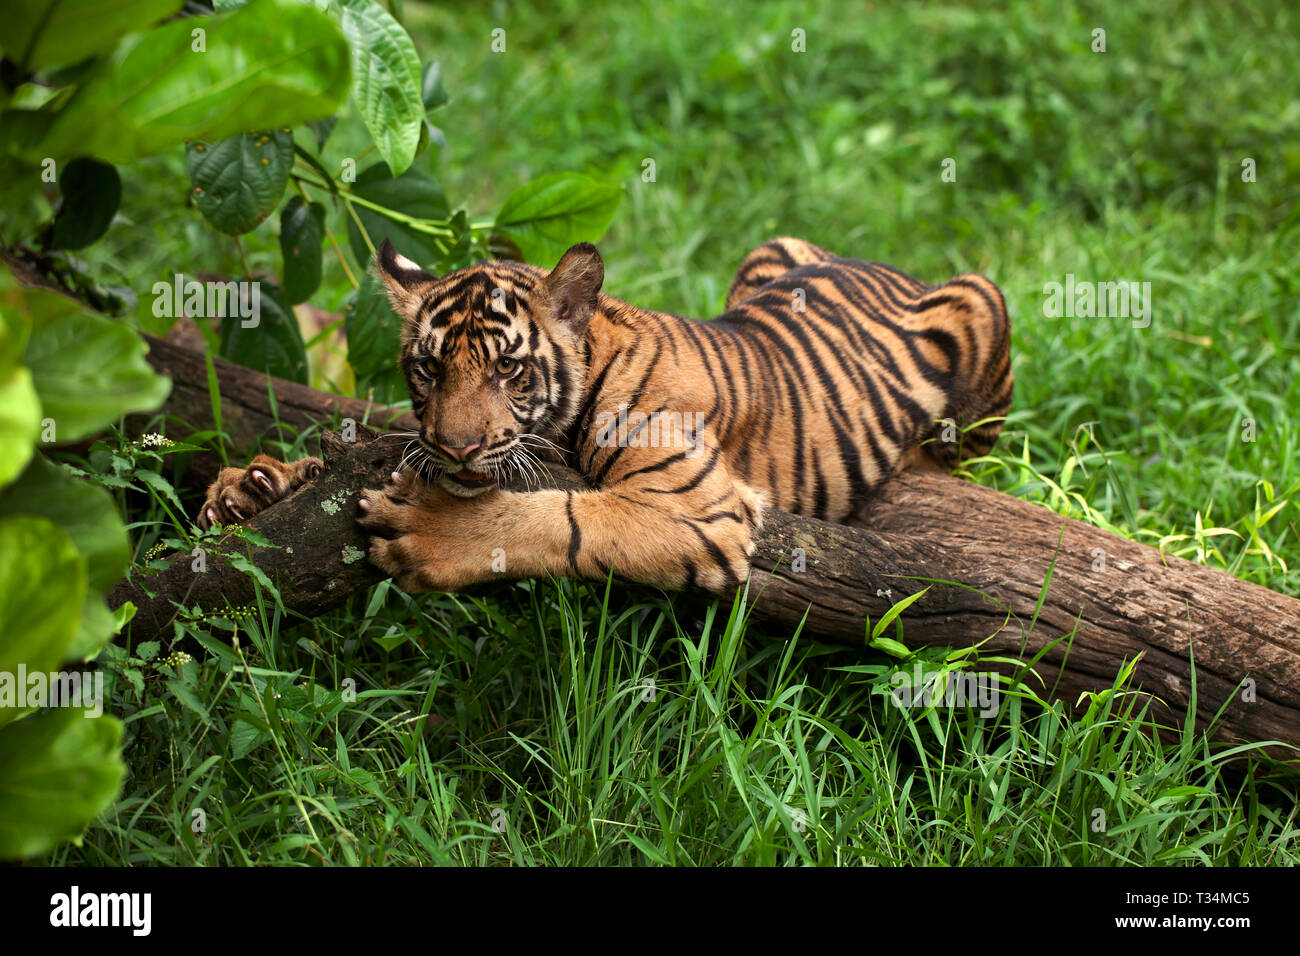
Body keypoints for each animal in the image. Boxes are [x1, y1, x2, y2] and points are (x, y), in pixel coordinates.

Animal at [197, 235, 1008, 595]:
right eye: (428, 369)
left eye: (508, 369)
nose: (456, 451)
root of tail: (878, 262)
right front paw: (252, 486)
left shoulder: (700, 507)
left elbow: (569, 520)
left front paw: (434, 530)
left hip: (983, 302)